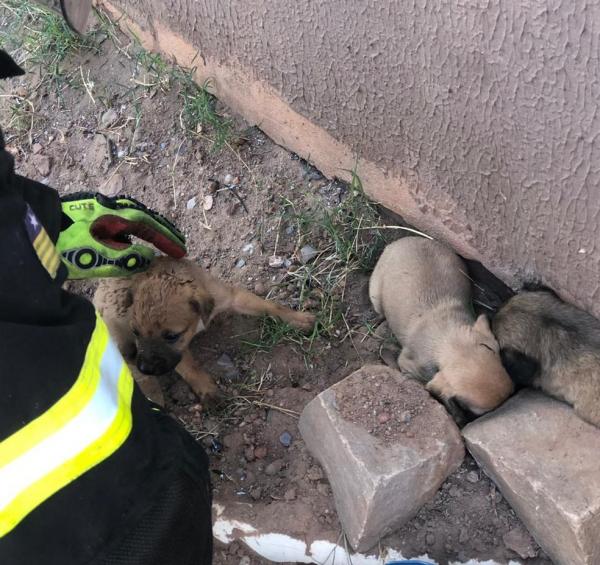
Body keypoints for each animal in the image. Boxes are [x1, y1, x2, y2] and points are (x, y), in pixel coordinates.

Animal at [95, 256, 314, 406]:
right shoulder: (177, 352)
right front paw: (207, 389)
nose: (145, 368)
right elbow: (189, 367)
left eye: (172, 336)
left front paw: (299, 319)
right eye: (136, 332)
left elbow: (269, 306)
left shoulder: (231, 297)